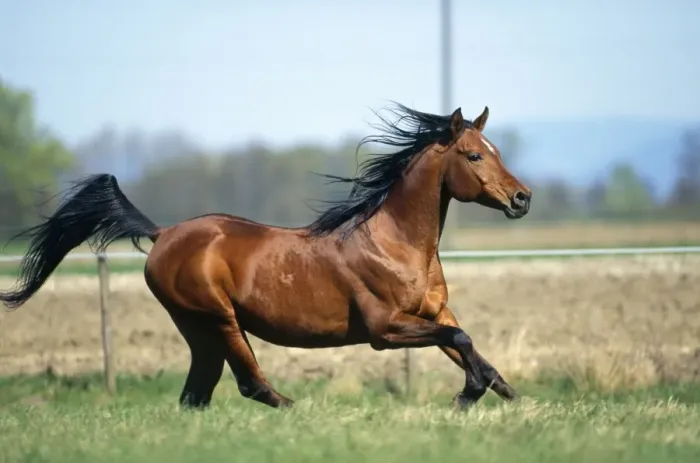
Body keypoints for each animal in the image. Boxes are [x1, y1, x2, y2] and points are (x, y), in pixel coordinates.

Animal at [0, 103, 531, 410]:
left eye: (496, 149)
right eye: (474, 155)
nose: (522, 198)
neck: (393, 243)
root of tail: (162, 233)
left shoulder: (433, 312)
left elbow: (467, 345)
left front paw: (505, 395)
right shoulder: (385, 329)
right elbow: (462, 341)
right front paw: (468, 396)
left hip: (201, 330)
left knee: (197, 392)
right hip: (217, 319)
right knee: (247, 384)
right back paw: (303, 412)